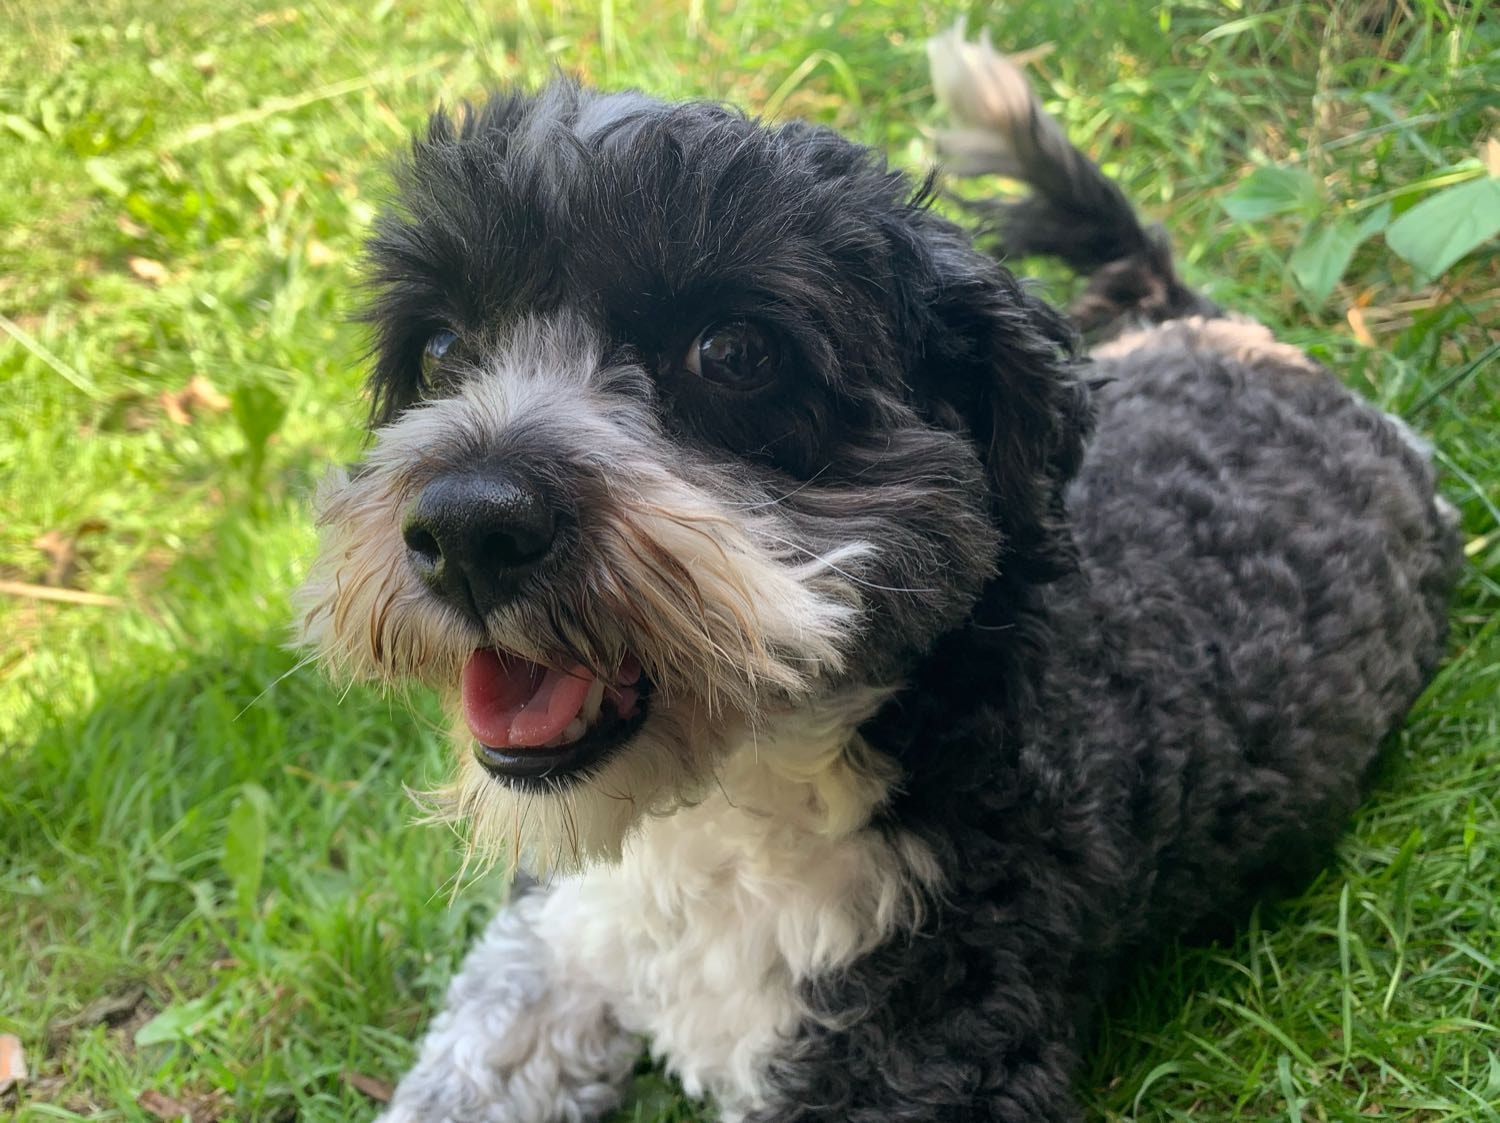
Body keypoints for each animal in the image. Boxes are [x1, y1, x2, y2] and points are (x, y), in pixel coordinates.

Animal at [296, 28, 1461, 1122]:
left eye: (734, 352)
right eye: (441, 347)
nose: (466, 526)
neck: (723, 807)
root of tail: (1221, 331)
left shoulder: (931, 1032)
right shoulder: (550, 941)